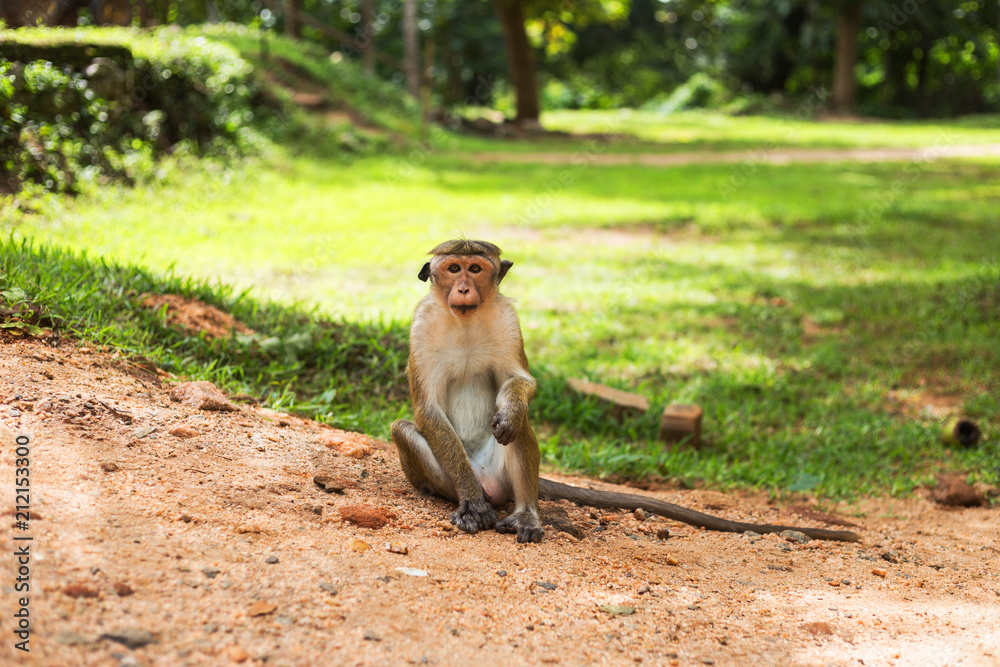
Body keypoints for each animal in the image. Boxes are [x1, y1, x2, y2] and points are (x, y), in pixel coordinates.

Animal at [390, 239, 860, 544]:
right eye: (453, 269)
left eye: (475, 268)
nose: (463, 288)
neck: (466, 320)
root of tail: (491, 482)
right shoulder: (421, 326)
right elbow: (426, 409)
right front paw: (472, 504)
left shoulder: (507, 319)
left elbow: (520, 383)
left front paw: (509, 409)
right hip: (453, 477)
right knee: (404, 429)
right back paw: (475, 497)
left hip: (502, 473)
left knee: (521, 428)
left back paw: (526, 512)